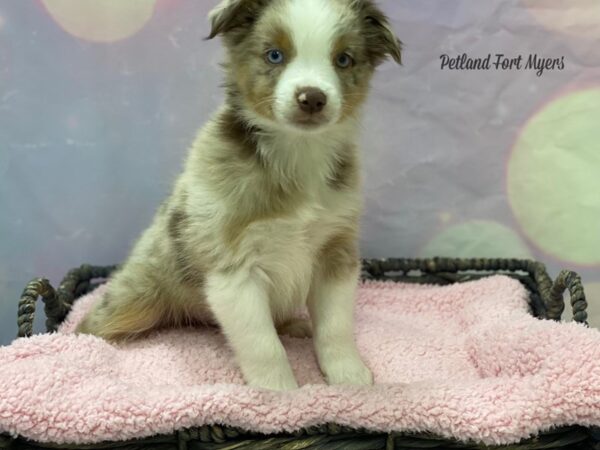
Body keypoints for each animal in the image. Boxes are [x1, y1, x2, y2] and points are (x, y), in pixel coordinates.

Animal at [76, 0, 404, 390]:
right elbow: (263, 344)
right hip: (133, 298)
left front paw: (349, 376)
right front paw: (280, 393)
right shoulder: (233, 268)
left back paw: (295, 325)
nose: (312, 99)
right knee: (91, 324)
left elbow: (336, 328)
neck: (298, 151)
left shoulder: (335, 253)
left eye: (343, 59)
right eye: (274, 55)